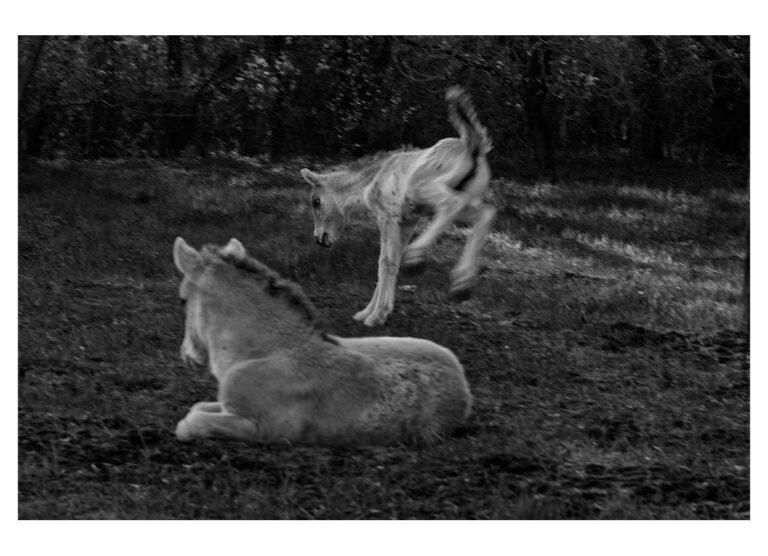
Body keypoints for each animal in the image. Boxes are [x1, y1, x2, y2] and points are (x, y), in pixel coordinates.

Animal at [172, 237, 472, 445]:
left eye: (182, 300)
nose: (186, 355)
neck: (266, 351)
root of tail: (464, 388)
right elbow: (197, 408)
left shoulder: (263, 428)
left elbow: (190, 422)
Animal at [301, 86, 495, 326]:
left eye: (316, 202)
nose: (320, 238)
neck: (373, 179)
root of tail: (473, 148)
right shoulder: (408, 221)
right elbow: (392, 261)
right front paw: (368, 312)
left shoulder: (388, 216)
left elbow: (385, 262)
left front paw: (376, 315)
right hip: (466, 200)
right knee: (485, 214)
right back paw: (462, 282)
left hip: (425, 189)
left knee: (452, 204)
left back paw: (418, 257)